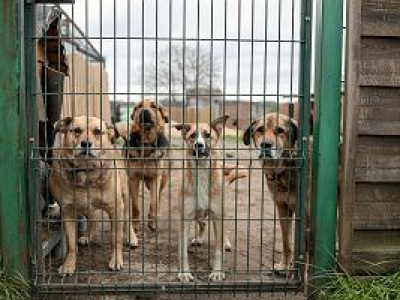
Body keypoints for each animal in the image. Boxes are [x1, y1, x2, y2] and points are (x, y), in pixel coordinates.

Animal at [49, 116, 136, 276]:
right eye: (76, 130)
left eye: (97, 132)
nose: (86, 144)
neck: (86, 171)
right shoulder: (68, 211)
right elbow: (71, 243)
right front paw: (69, 264)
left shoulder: (116, 208)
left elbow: (116, 238)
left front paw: (116, 260)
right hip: (85, 207)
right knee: (94, 219)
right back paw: (88, 236)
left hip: (126, 199)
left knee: (128, 220)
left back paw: (132, 238)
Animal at [123, 98, 170, 232]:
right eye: (139, 106)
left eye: (154, 106)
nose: (144, 111)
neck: (146, 143)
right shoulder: (133, 178)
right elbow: (135, 205)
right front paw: (135, 225)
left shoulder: (155, 178)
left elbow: (153, 202)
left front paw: (152, 222)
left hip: (163, 179)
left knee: (158, 196)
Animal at [175, 115, 247, 282]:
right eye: (192, 136)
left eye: (208, 135)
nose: (198, 145)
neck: (201, 171)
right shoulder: (185, 217)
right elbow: (182, 251)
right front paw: (185, 273)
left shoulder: (218, 216)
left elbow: (218, 250)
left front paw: (217, 272)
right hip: (198, 214)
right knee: (202, 224)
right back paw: (198, 238)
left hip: (222, 214)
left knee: (223, 231)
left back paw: (226, 242)